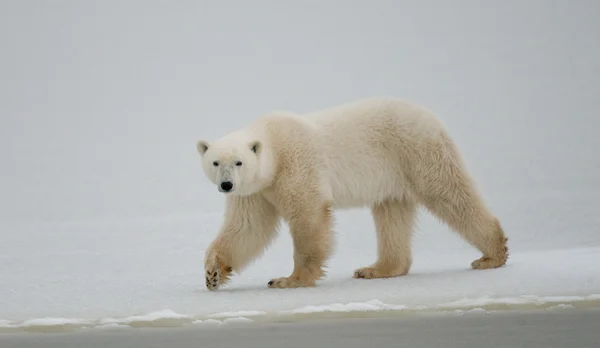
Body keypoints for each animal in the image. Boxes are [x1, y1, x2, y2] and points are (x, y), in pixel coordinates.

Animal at [196, 96, 506, 290]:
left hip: (417, 151)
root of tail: (431, 117)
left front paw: (289, 279)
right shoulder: (256, 191)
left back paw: (492, 255)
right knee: (392, 214)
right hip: (393, 174)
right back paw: (376, 269)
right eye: (216, 162)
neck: (274, 143)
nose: (226, 185)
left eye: (238, 162)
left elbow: (308, 215)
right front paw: (212, 273)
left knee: (449, 193)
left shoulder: (295, 164)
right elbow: (248, 228)